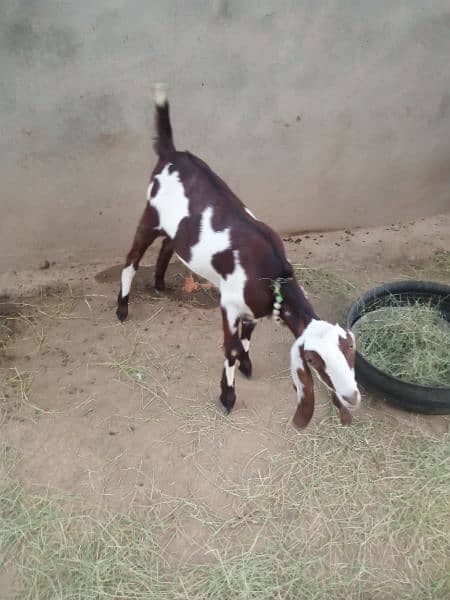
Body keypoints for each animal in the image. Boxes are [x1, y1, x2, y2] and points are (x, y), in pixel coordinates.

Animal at [117, 86, 362, 428]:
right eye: (315, 361)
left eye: (350, 350)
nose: (353, 397)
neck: (273, 278)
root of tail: (172, 153)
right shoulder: (230, 304)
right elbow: (231, 349)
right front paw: (227, 396)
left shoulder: (253, 310)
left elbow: (247, 338)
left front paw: (246, 366)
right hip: (150, 214)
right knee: (131, 258)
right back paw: (122, 307)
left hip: (175, 226)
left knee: (169, 245)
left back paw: (159, 283)